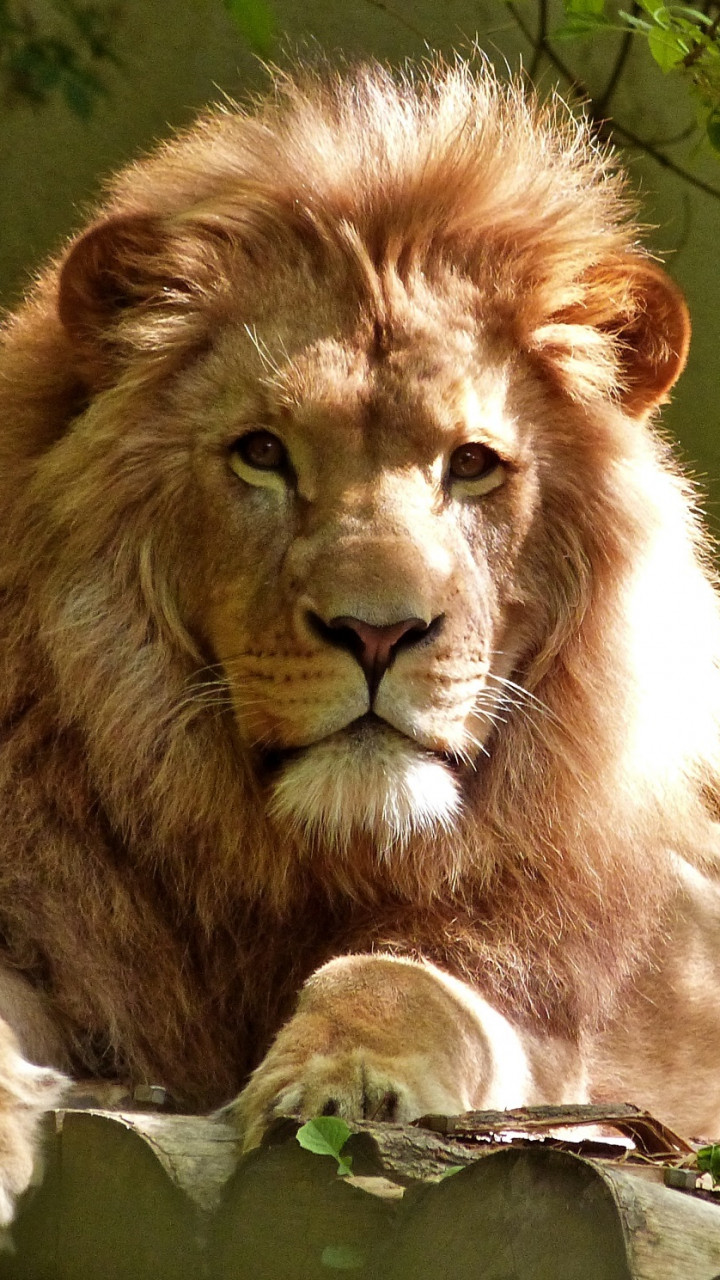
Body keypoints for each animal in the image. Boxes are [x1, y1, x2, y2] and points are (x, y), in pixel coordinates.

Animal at [0, 58, 719, 1220]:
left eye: (472, 464)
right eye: (262, 453)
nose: (378, 632)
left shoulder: (560, 1005)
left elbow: (403, 979)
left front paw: (349, 1078)